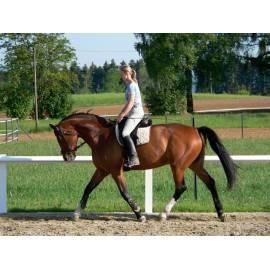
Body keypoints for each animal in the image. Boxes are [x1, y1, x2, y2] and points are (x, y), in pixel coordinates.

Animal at [49, 113, 237, 223]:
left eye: (60, 136)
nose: (67, 157)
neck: (100, 136)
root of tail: (195, 130)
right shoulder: (102, 170)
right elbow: (88, 188)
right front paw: (76, 213)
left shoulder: (115, 171)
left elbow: (124, 193)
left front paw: (140, 214)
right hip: (194, 164)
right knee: (210, 182)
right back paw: (221, 213)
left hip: (178, 166)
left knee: (181, 187)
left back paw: (163, 214)